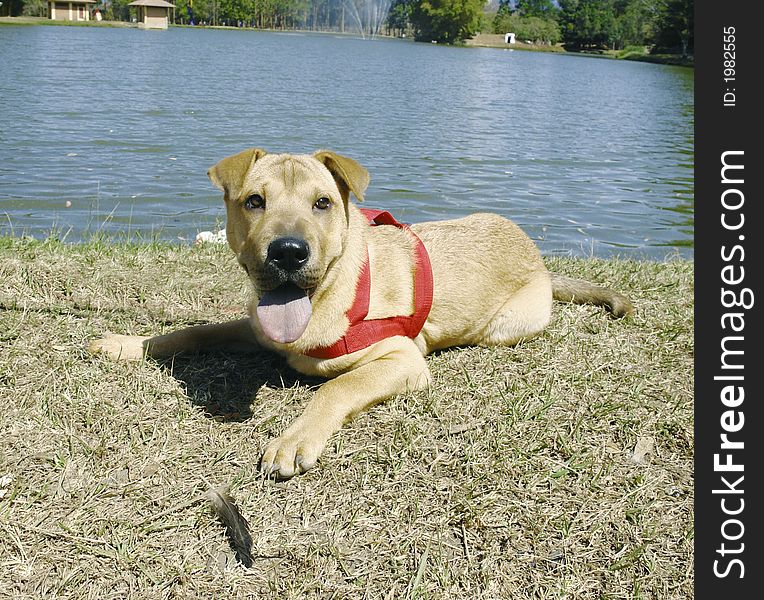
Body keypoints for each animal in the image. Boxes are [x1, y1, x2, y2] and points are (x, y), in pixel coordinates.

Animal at [91, 149, 632, 478]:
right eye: (254, 201)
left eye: (323, 203)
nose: (288, 252)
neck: (330, 298)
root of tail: (538, 256)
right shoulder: (257, 327)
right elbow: (194, 331)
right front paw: (127, 344)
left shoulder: (403, 359)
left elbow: (338, 386)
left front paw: (295, 438)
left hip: (504, 327)